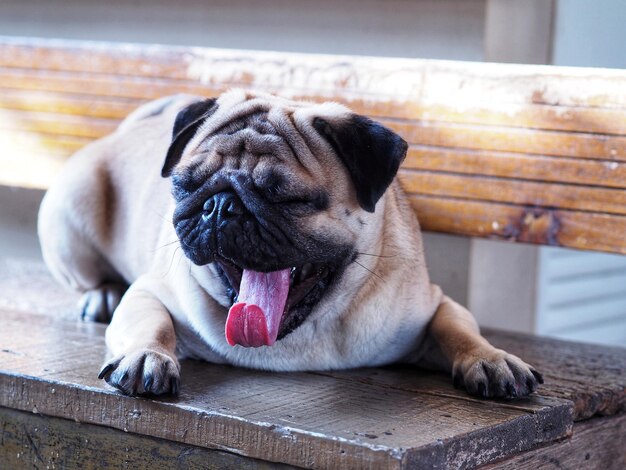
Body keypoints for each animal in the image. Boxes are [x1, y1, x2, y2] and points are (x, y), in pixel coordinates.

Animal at [37, 90, 540, 398]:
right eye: (185, 185)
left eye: (290, 199)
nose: (220, 205)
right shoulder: (151, 291)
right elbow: (151, 322)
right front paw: (147, 357)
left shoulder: (432, 305)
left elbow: (459, 328)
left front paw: (493, 360)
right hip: (70, 211)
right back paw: (101, 295)